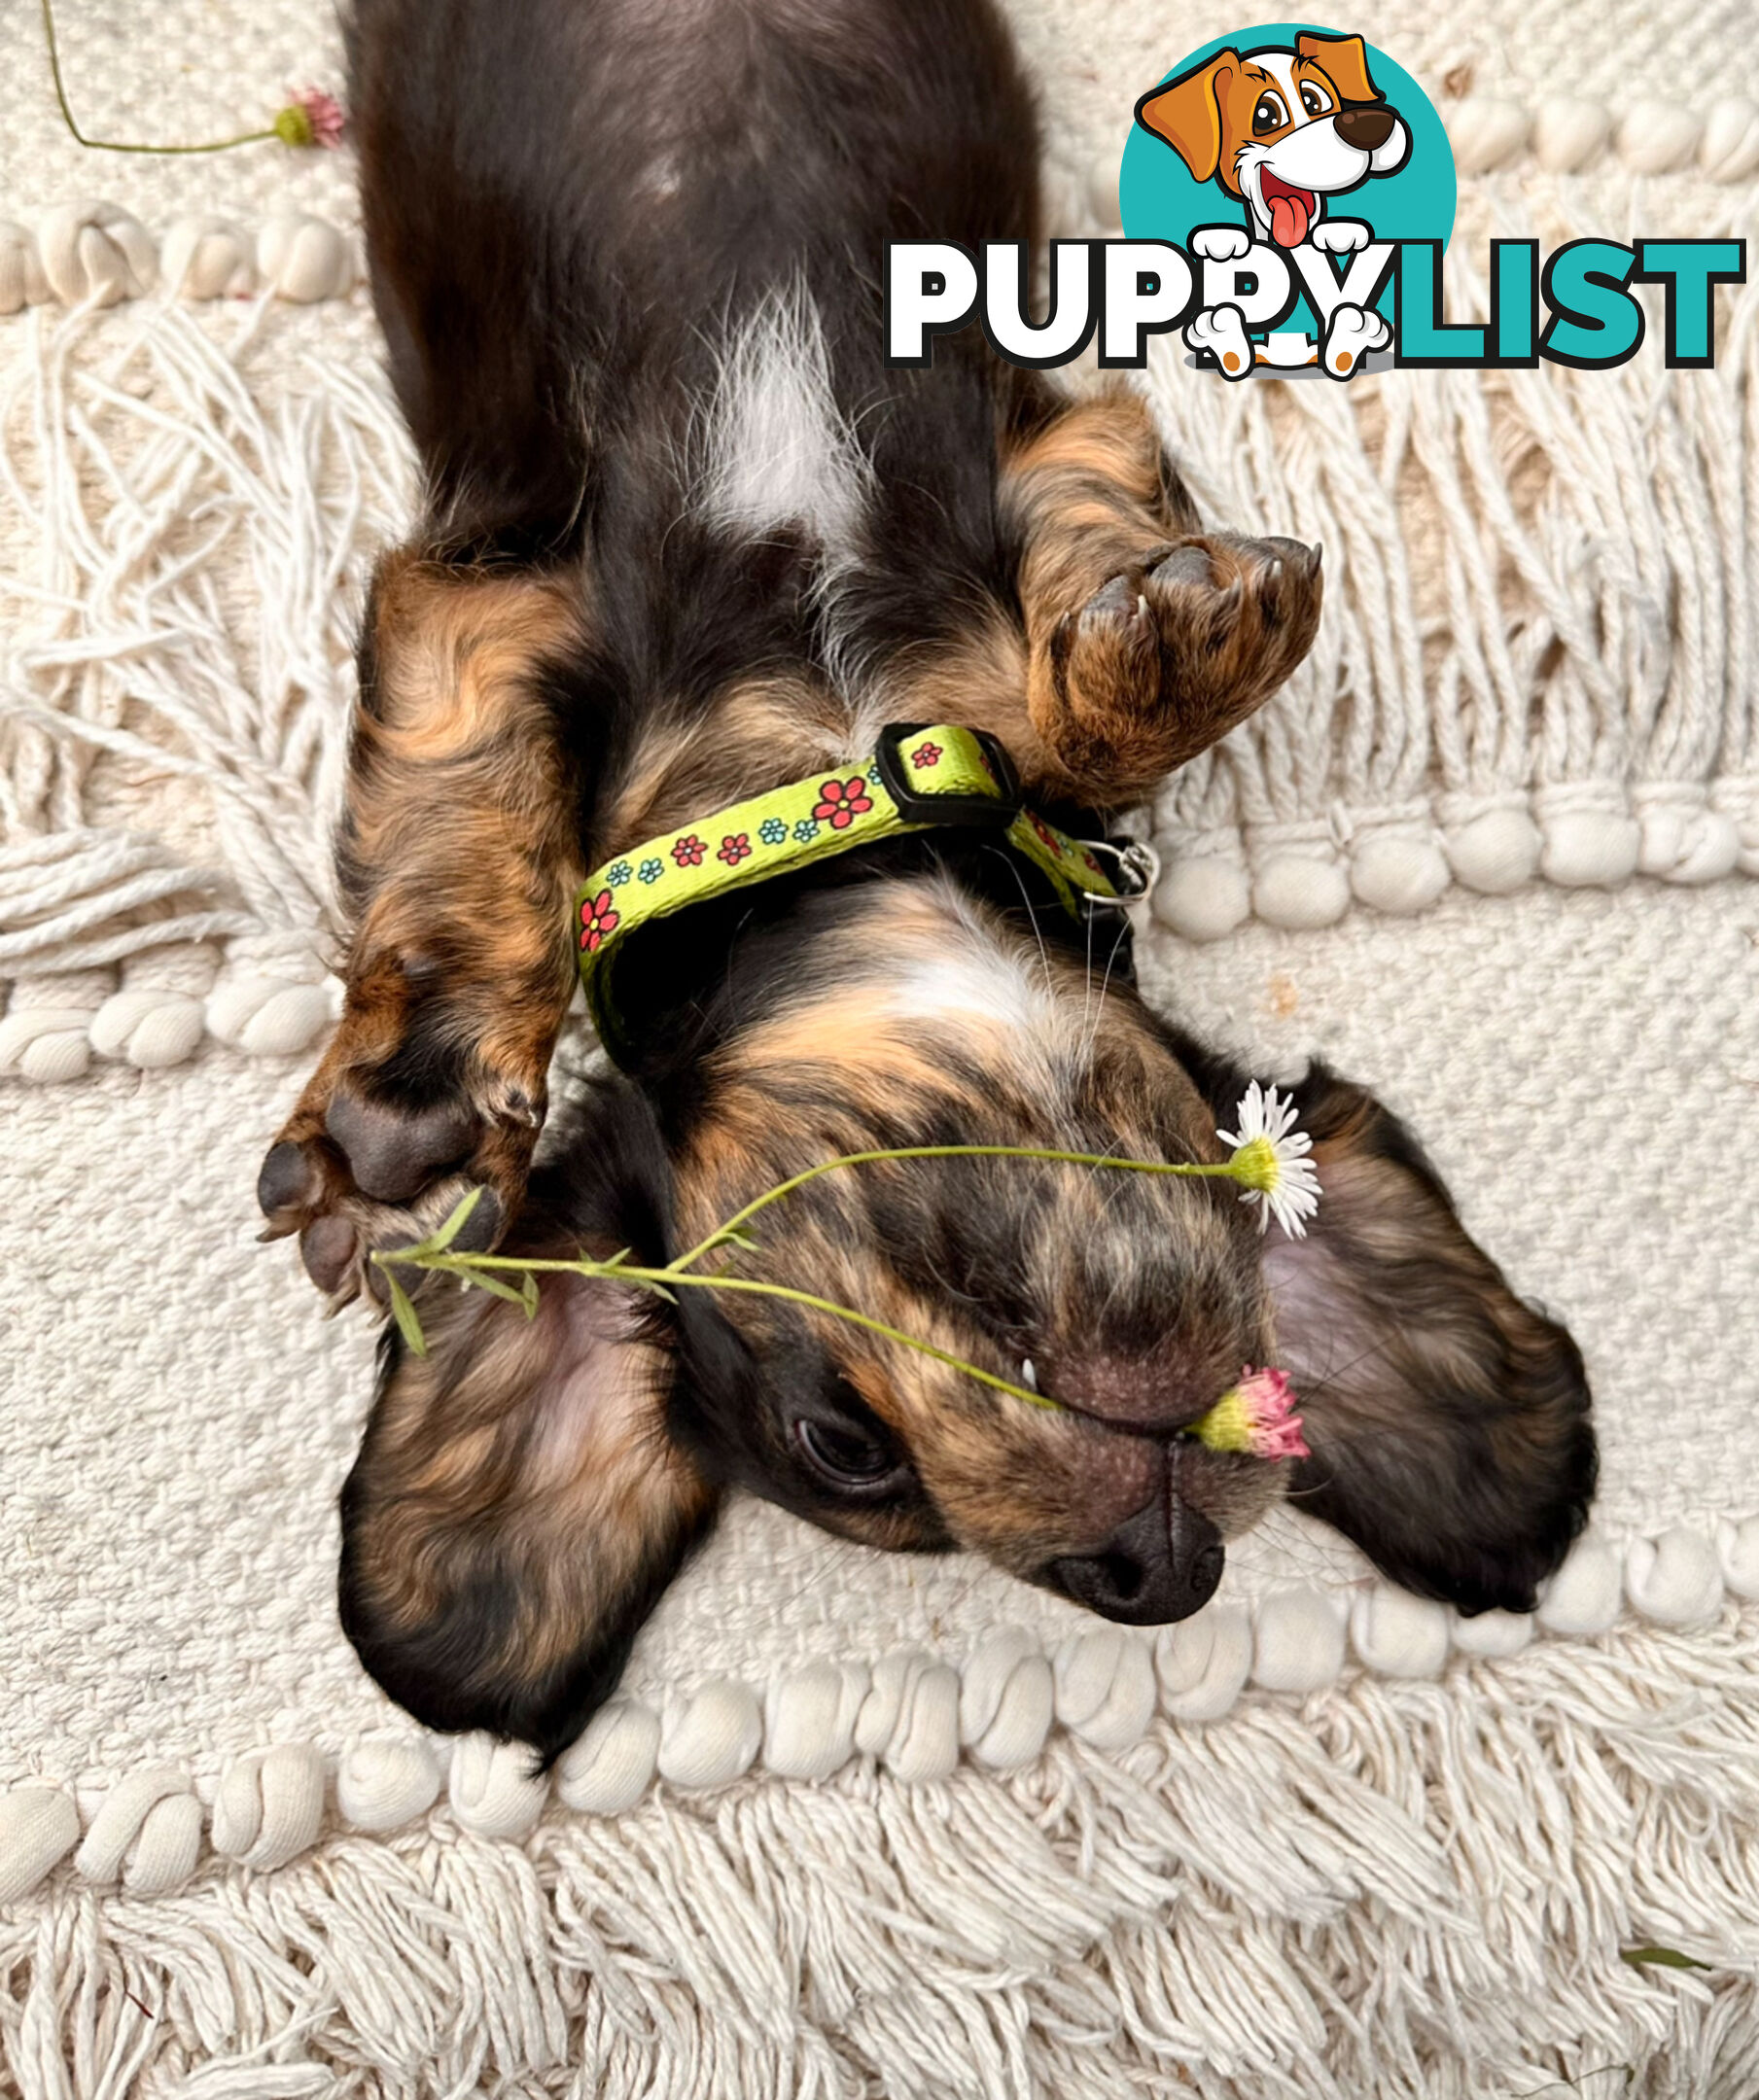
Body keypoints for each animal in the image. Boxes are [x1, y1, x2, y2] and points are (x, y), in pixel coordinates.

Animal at [258, 0, 1595, 1764]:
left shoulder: (1055, 437)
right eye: (845, 1449)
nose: (1156, 1575)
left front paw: (1167, 644)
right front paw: (399, 1104)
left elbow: (1082, 645)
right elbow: (459, 828)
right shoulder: (485, 593)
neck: (838, 757)